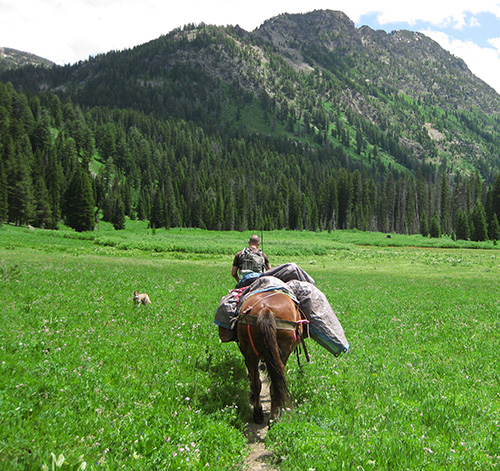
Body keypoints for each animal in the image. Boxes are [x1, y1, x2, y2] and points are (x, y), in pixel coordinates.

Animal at [237, 292, 304, 424]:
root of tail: (266, 309)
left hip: (251, 351)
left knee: (258, 383)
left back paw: (261, 414)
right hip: (282, 353)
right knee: (273, 384)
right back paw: (272, 417)